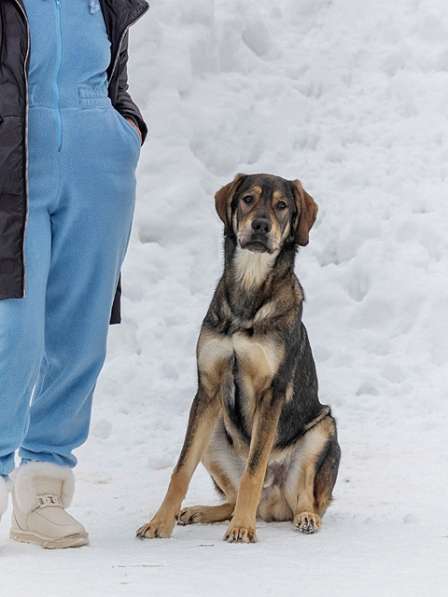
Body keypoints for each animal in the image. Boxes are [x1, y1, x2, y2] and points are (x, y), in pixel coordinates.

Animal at [136, 171, 340, 540]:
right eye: (248, 199)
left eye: (282, 205)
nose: (260, 225)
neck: (250, 285)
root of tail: (273, 506)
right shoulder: (207, 389)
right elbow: (180, 470)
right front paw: (159, 522)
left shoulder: (272, 393)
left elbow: (254, 470)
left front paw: (242, 528)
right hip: (215, 428)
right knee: (230, 498)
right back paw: (202, 512)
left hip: (323, 429)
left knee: (306, 498)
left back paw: (302, 518)